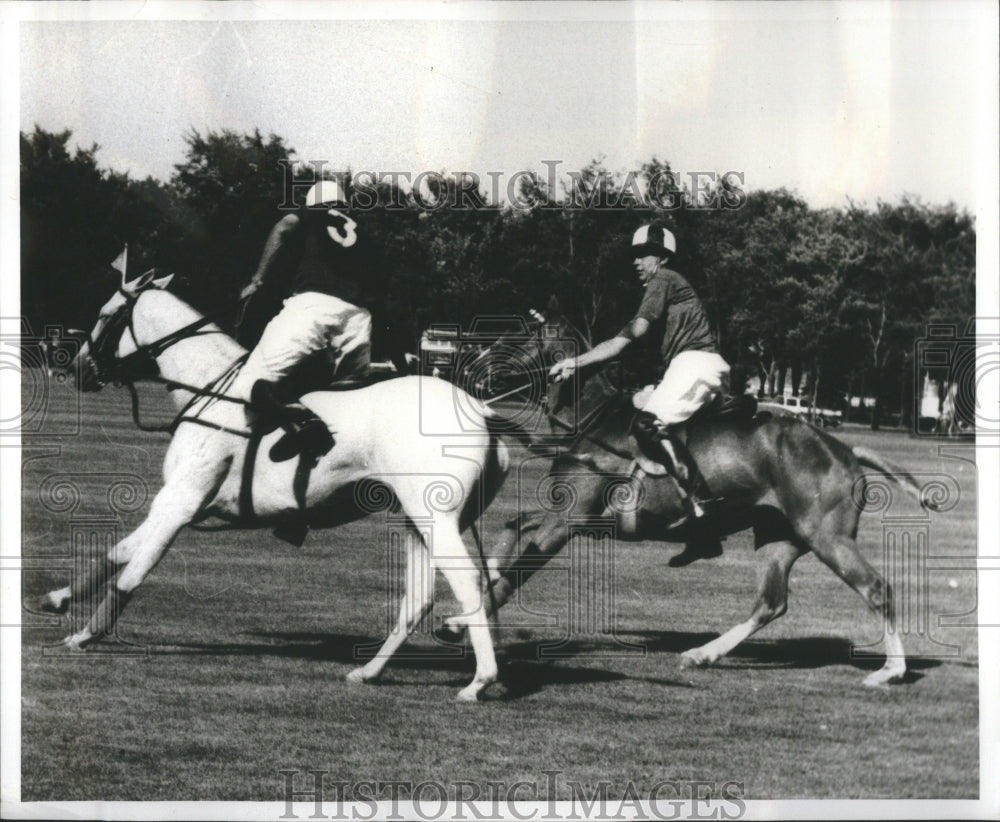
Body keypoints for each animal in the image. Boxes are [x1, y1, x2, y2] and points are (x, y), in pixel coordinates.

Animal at [37, 274, 516, 704]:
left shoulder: (180, 501)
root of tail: (483, 411)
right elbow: (118, 553)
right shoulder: (179, 504)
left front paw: (86, 634)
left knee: (468, 581)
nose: (75, 369)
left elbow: (134, 571)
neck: (209, 387)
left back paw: (480, 682)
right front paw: (59, 598)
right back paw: (369, 671)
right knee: (419, 596)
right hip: (417, 520)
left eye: (105, 315)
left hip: (438, 516)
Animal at [440, 312, 936, 684]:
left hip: (827, 536)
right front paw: (464, 615)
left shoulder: (568, 523)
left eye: (514, 333)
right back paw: (701, 654)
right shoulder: (569, 515)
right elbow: (511, 527)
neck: (592, 419)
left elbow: (519, 571)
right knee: (771, 603)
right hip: (779, 537)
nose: (464, 364)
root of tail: (845, 449)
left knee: (876, 588)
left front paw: (463, 622)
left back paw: (890, 671)